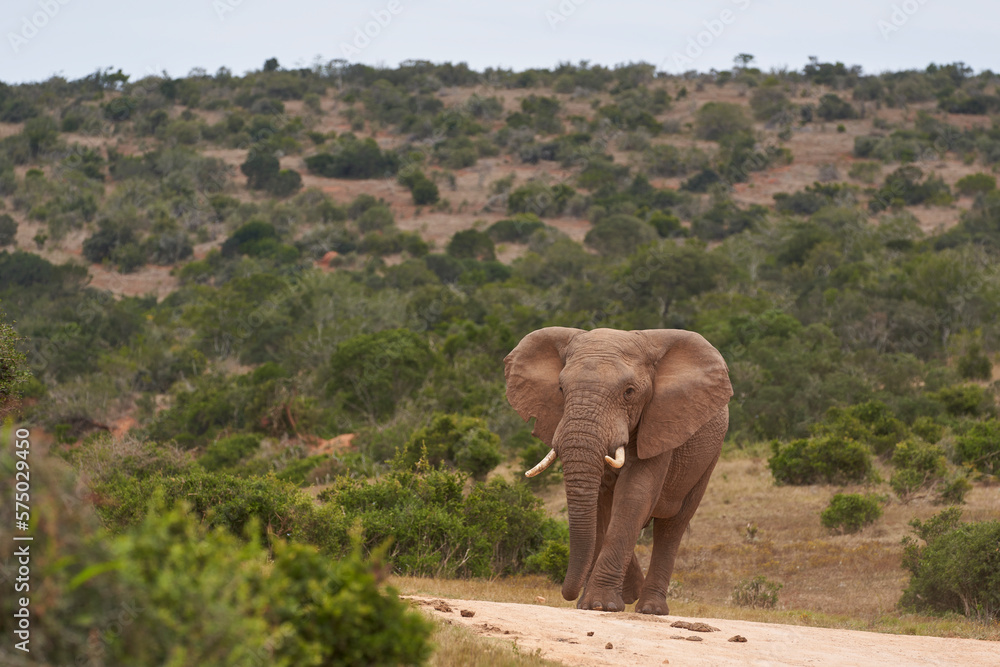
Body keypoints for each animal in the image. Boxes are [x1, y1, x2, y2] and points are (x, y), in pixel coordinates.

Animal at [504, 327, 732, 615]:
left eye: (629, 392)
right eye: (560, 388)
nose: (567, 594)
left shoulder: (659, 421)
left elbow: (634, 493)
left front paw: (601, 605)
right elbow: (601, 502)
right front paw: (593, 604)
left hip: (709, 457)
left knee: (672, 526)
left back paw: (650, 609)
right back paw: (631, 594)